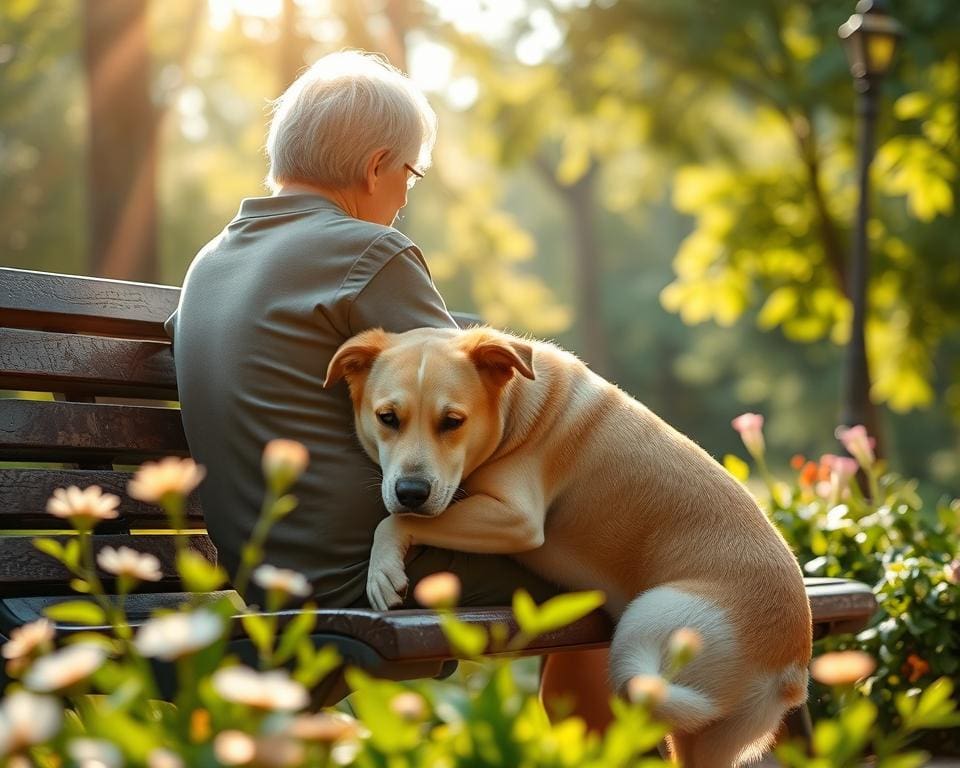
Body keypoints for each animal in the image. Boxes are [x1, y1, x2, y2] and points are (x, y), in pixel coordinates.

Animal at [326, 326, 812, 768]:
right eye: (388, 417)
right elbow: (400, 515)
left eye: (452, 422)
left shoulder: (518, 519)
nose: (411, 491)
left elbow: (393, 521)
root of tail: (790, 668)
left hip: (646, 632)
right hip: (706, 734)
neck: (517, 406)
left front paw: (383, 569)